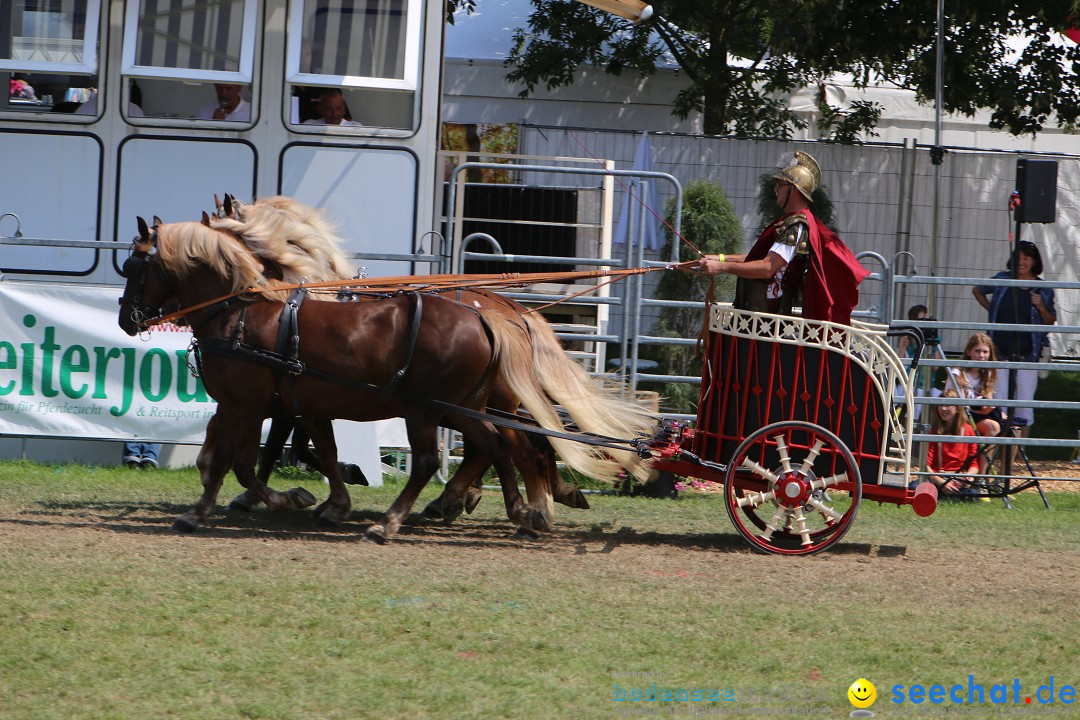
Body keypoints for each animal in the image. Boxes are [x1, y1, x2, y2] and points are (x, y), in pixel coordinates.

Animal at [118, 218, 596, 539]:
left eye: (133, 266)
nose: (126, 319)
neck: (237, 314)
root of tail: (490, 316)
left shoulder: (245, 405)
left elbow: (234, 463)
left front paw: (234, 506)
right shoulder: (295, 406)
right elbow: (309, 455)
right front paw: (328, 503)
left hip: (428, 410)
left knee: (441, 459)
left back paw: (396, 521)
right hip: (465, 407)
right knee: (498, 446)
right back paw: (517, 509)